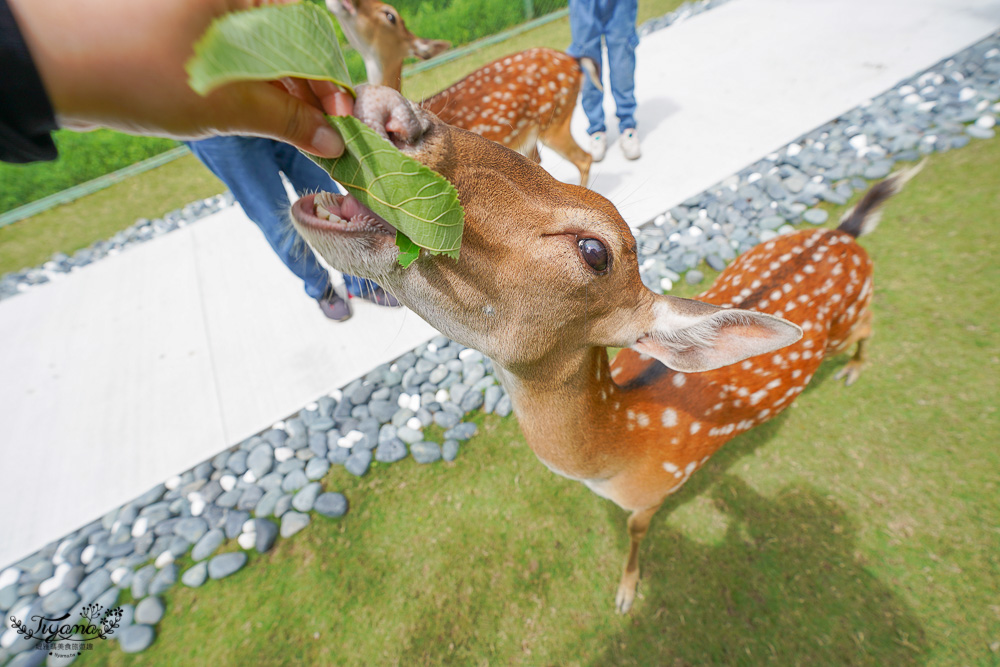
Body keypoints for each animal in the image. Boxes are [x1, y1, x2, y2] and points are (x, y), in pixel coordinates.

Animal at [292, 87, 920, 616]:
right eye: (514, 148)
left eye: (595, 251)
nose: (392, 113)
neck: (620, 451)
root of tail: (843, 233)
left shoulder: (655, 491)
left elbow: (636, 535)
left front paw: (626, 593)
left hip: (852, 313)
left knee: (867, 322)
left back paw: (856, 370)